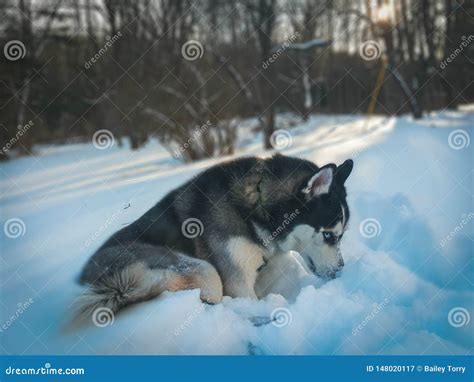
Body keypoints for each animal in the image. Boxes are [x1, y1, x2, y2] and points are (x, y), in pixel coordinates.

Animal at [78, 154, 352, 320]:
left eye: (342, 235)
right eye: (329, 235)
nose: (341, 271)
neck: (257, 206)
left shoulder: (271, 264)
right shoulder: (238, 283)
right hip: (192, 269)